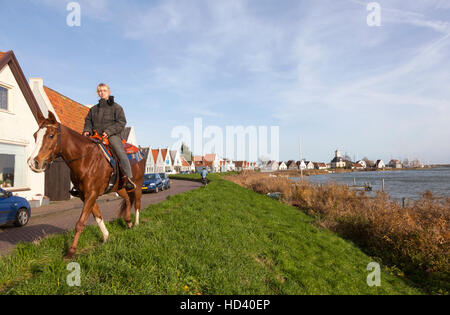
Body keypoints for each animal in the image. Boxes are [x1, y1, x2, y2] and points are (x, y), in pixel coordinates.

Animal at [28, 111, 144, 260]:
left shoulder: (91, 194)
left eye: (51, 135)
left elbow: (80, 223)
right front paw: (106, 237)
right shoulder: (85, 195)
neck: (86, 159)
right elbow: (97, 216)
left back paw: (136, 224)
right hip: (120, 187)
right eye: (35, 135)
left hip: (138, 185)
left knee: (137, 204)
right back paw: (128, 221)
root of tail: (140, 151)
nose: (33, 163)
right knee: (128, 200)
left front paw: (71, 251)